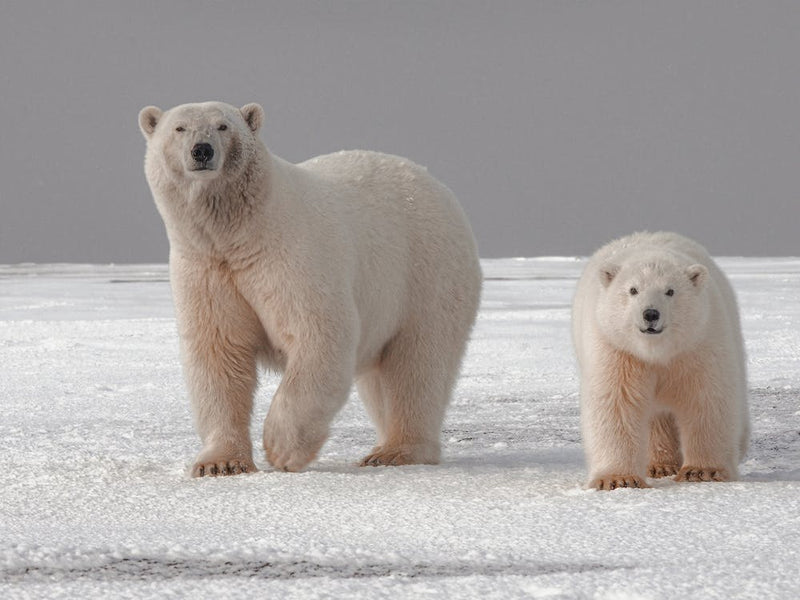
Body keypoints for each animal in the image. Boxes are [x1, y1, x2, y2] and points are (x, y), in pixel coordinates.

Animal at [138, 101, 482, 476]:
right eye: (179, 128)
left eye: (223, 126)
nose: (202, 150)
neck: (241, 233)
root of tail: (436, 184)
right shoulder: (206, 268)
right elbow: (219, 353)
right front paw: (220, 463)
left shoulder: (290, 255)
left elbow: (318, 333)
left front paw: (281, 448)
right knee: (382, 378)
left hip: (426, 272)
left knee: (418, 363)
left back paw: (396, 451)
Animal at [571, 231, 749, 490]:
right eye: (633, 289)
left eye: (670, 291)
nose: (650, 314)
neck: (657, 352)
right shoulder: (617, 349)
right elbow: (616, 403)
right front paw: (618, 479)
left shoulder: (698, 343)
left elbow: (706, 398)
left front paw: (702, 471)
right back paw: (660, 465)